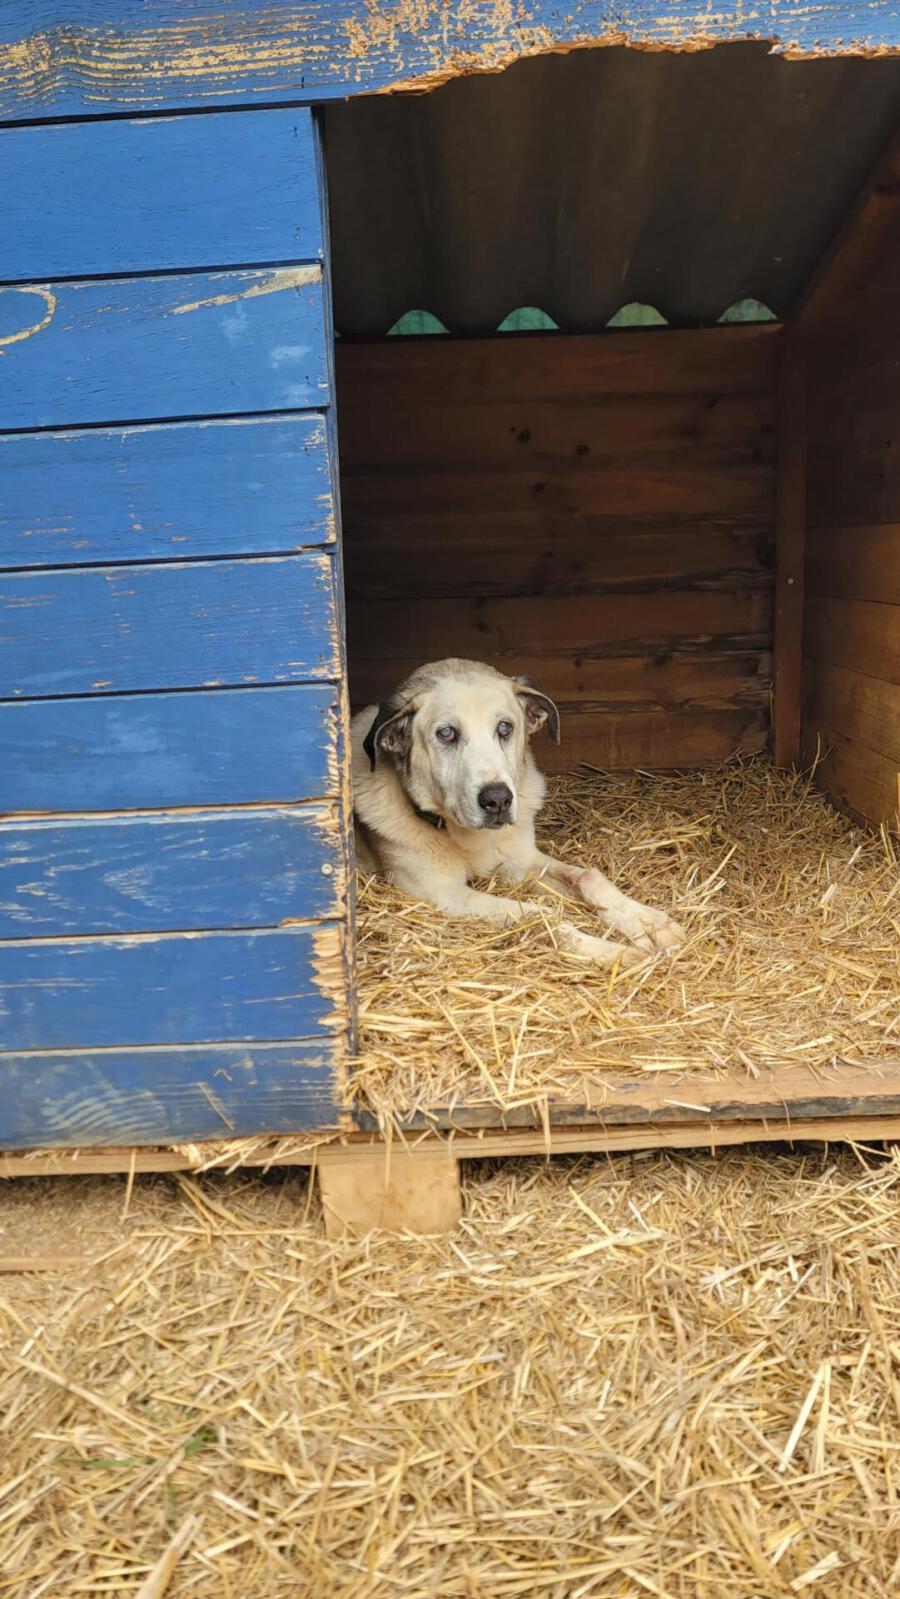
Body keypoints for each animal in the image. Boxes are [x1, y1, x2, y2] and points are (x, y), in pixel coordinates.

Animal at [351, 658, 685, 966]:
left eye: (505, 728)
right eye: (446, 733)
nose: (498, 800)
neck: (470, 839)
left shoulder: (522, 862)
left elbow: (589, 876)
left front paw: (648, 922)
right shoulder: (443, 893)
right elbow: (542, 915)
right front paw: (613, 952)